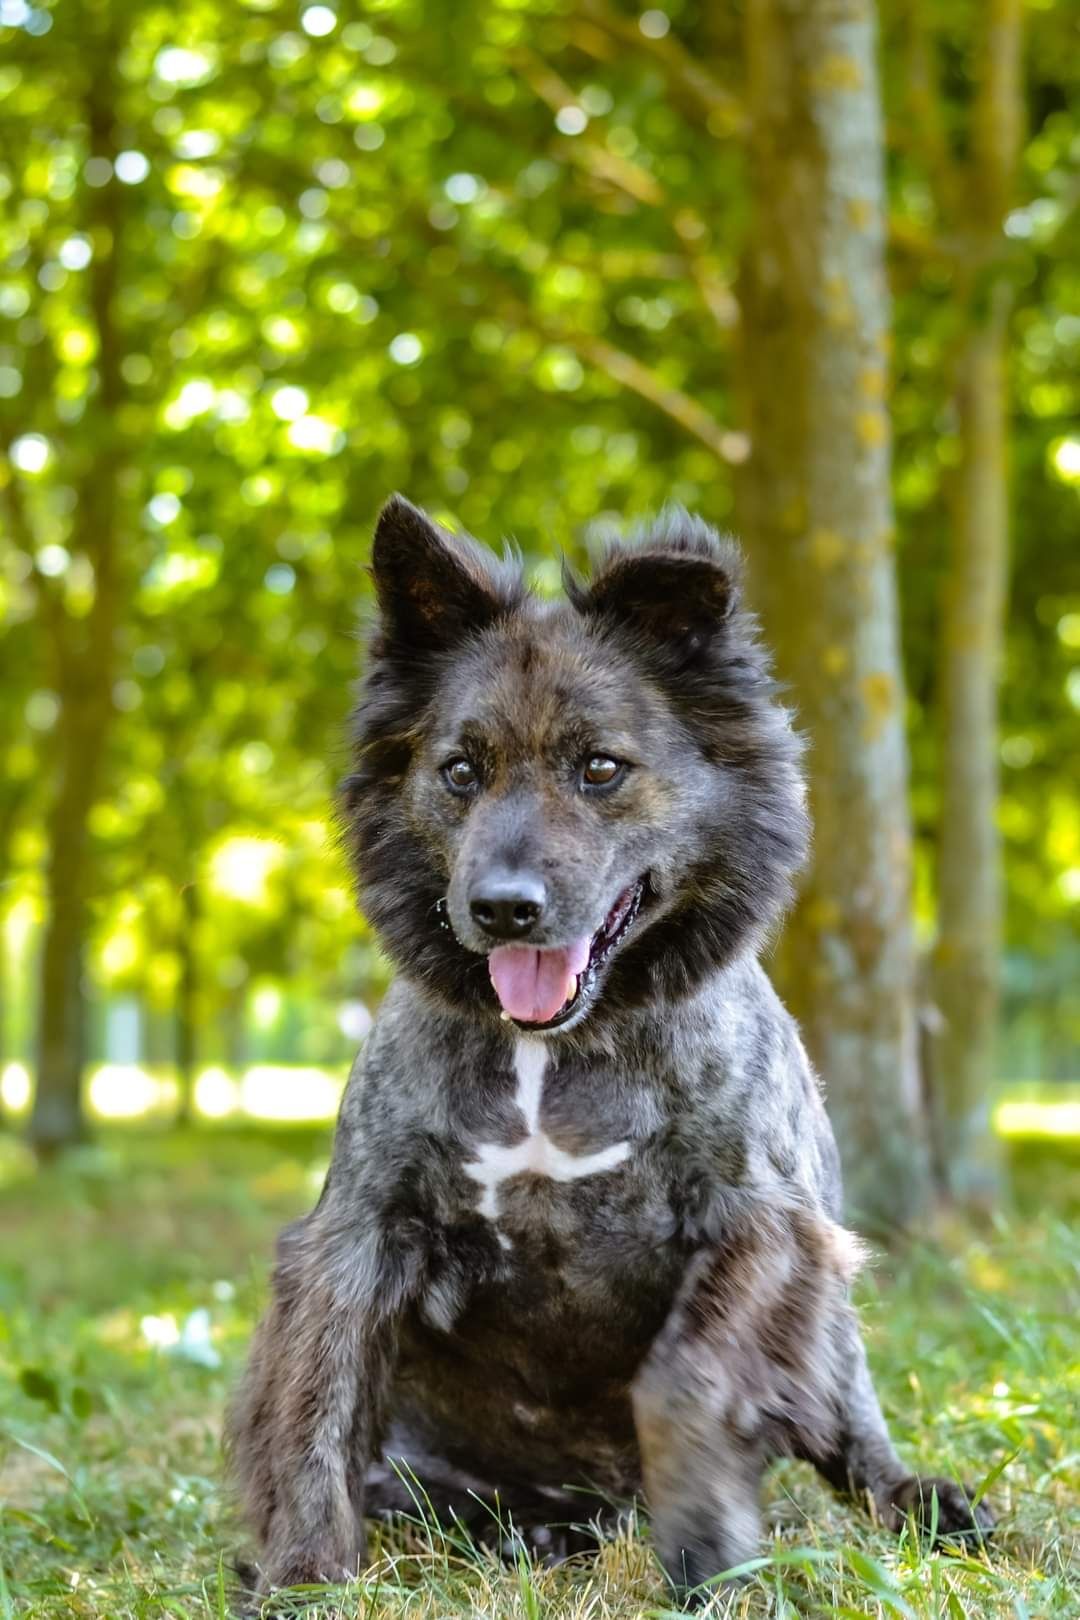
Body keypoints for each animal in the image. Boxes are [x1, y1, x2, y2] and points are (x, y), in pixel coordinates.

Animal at [226, 495, 990, 1607]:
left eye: (600, 767)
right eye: (460, 770)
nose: (504, 909)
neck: (554, 1058)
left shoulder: (760, 1227)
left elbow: (685, 1379)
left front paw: (711, 1551)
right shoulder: (360, 1231)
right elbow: (319, 1403)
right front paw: (304, 1576)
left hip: (835, 1344)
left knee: (854, 1437)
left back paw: (924, 1504)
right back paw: (526, 1534)